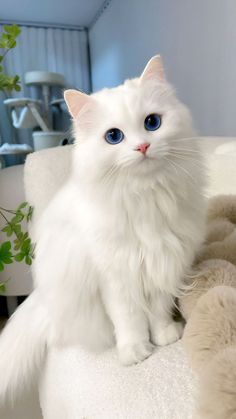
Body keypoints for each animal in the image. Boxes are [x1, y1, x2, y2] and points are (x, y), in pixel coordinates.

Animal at [0, 54, 205, 402]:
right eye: (114, 137)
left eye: (152, 123)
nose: (142, 147)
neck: (145, 198)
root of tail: (41, 301)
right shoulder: (116, 277)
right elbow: (129, 319)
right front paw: (136, 352)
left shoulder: (163, 262)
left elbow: (158, 309)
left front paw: (164, 335)